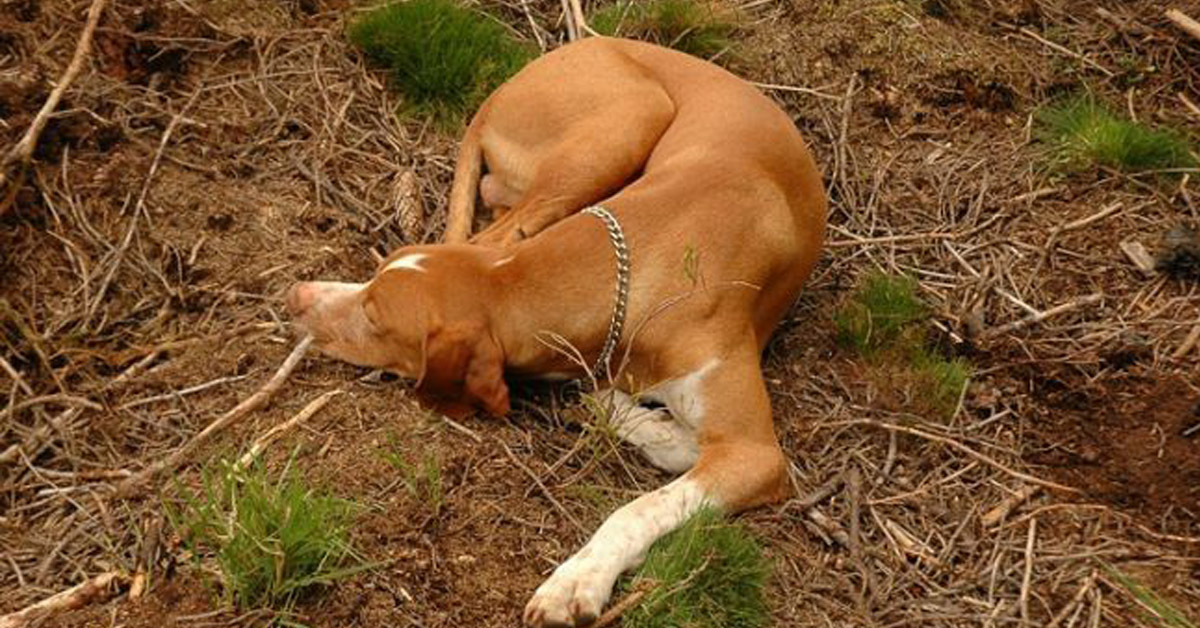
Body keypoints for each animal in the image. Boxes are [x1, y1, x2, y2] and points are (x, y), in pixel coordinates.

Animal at [286, 36, 830, 624]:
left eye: (373, 316)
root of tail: (513, 80)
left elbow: (639, 507)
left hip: (631, 116)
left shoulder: (755, 455)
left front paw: (578, 579)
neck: (643, 253)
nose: (297, 296)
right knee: (496, 229)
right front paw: (646, 422)